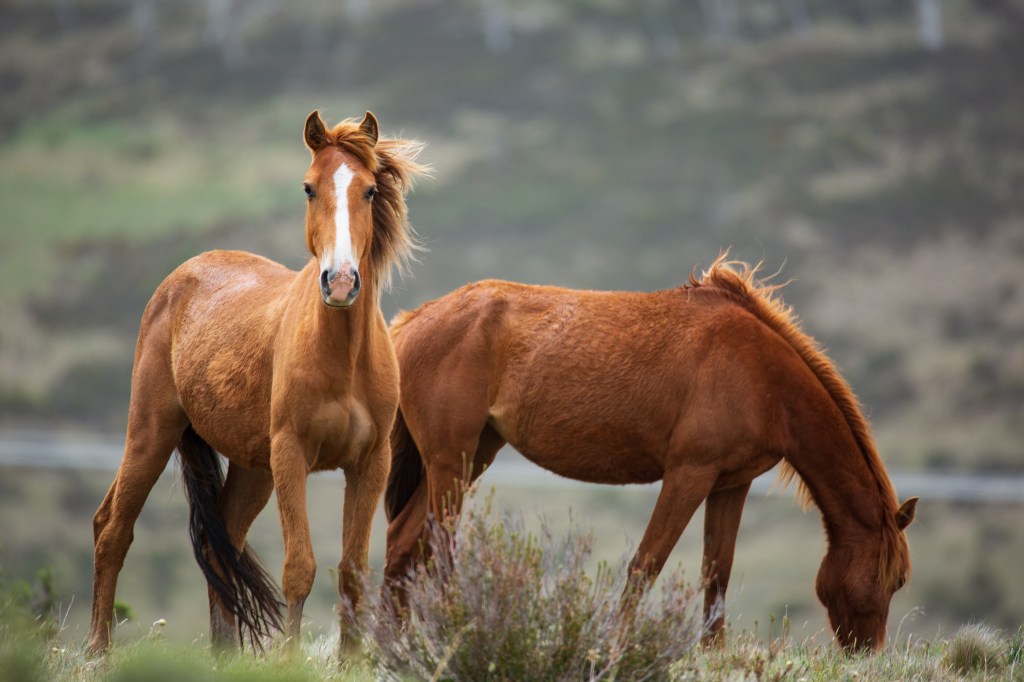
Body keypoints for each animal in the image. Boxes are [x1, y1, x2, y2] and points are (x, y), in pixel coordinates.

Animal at [83, 111, 428, 655]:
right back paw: (98, 649)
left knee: (218, 542)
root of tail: (181, 277)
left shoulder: (370, 464)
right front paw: (288, 660)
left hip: (252, 469)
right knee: (113, 528)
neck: (344, 358)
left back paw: (224, 653)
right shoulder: (292, 456)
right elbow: (299, 569)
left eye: (371, 190)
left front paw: (351, 662)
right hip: (150, 434)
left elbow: (352, 571)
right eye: (308, 187)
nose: (341, 283)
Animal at [385, 254, 921, 647]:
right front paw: (615, 647)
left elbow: (716, 575)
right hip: (451, 461)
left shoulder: (731, 485)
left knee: (403, 542)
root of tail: (413, 321)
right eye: (894, 580)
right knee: (438, 546)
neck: (759, 374)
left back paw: (394, 642)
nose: (867, 655)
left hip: (470, 456)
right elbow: (645, 567)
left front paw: (713, 656)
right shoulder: (688, 475)